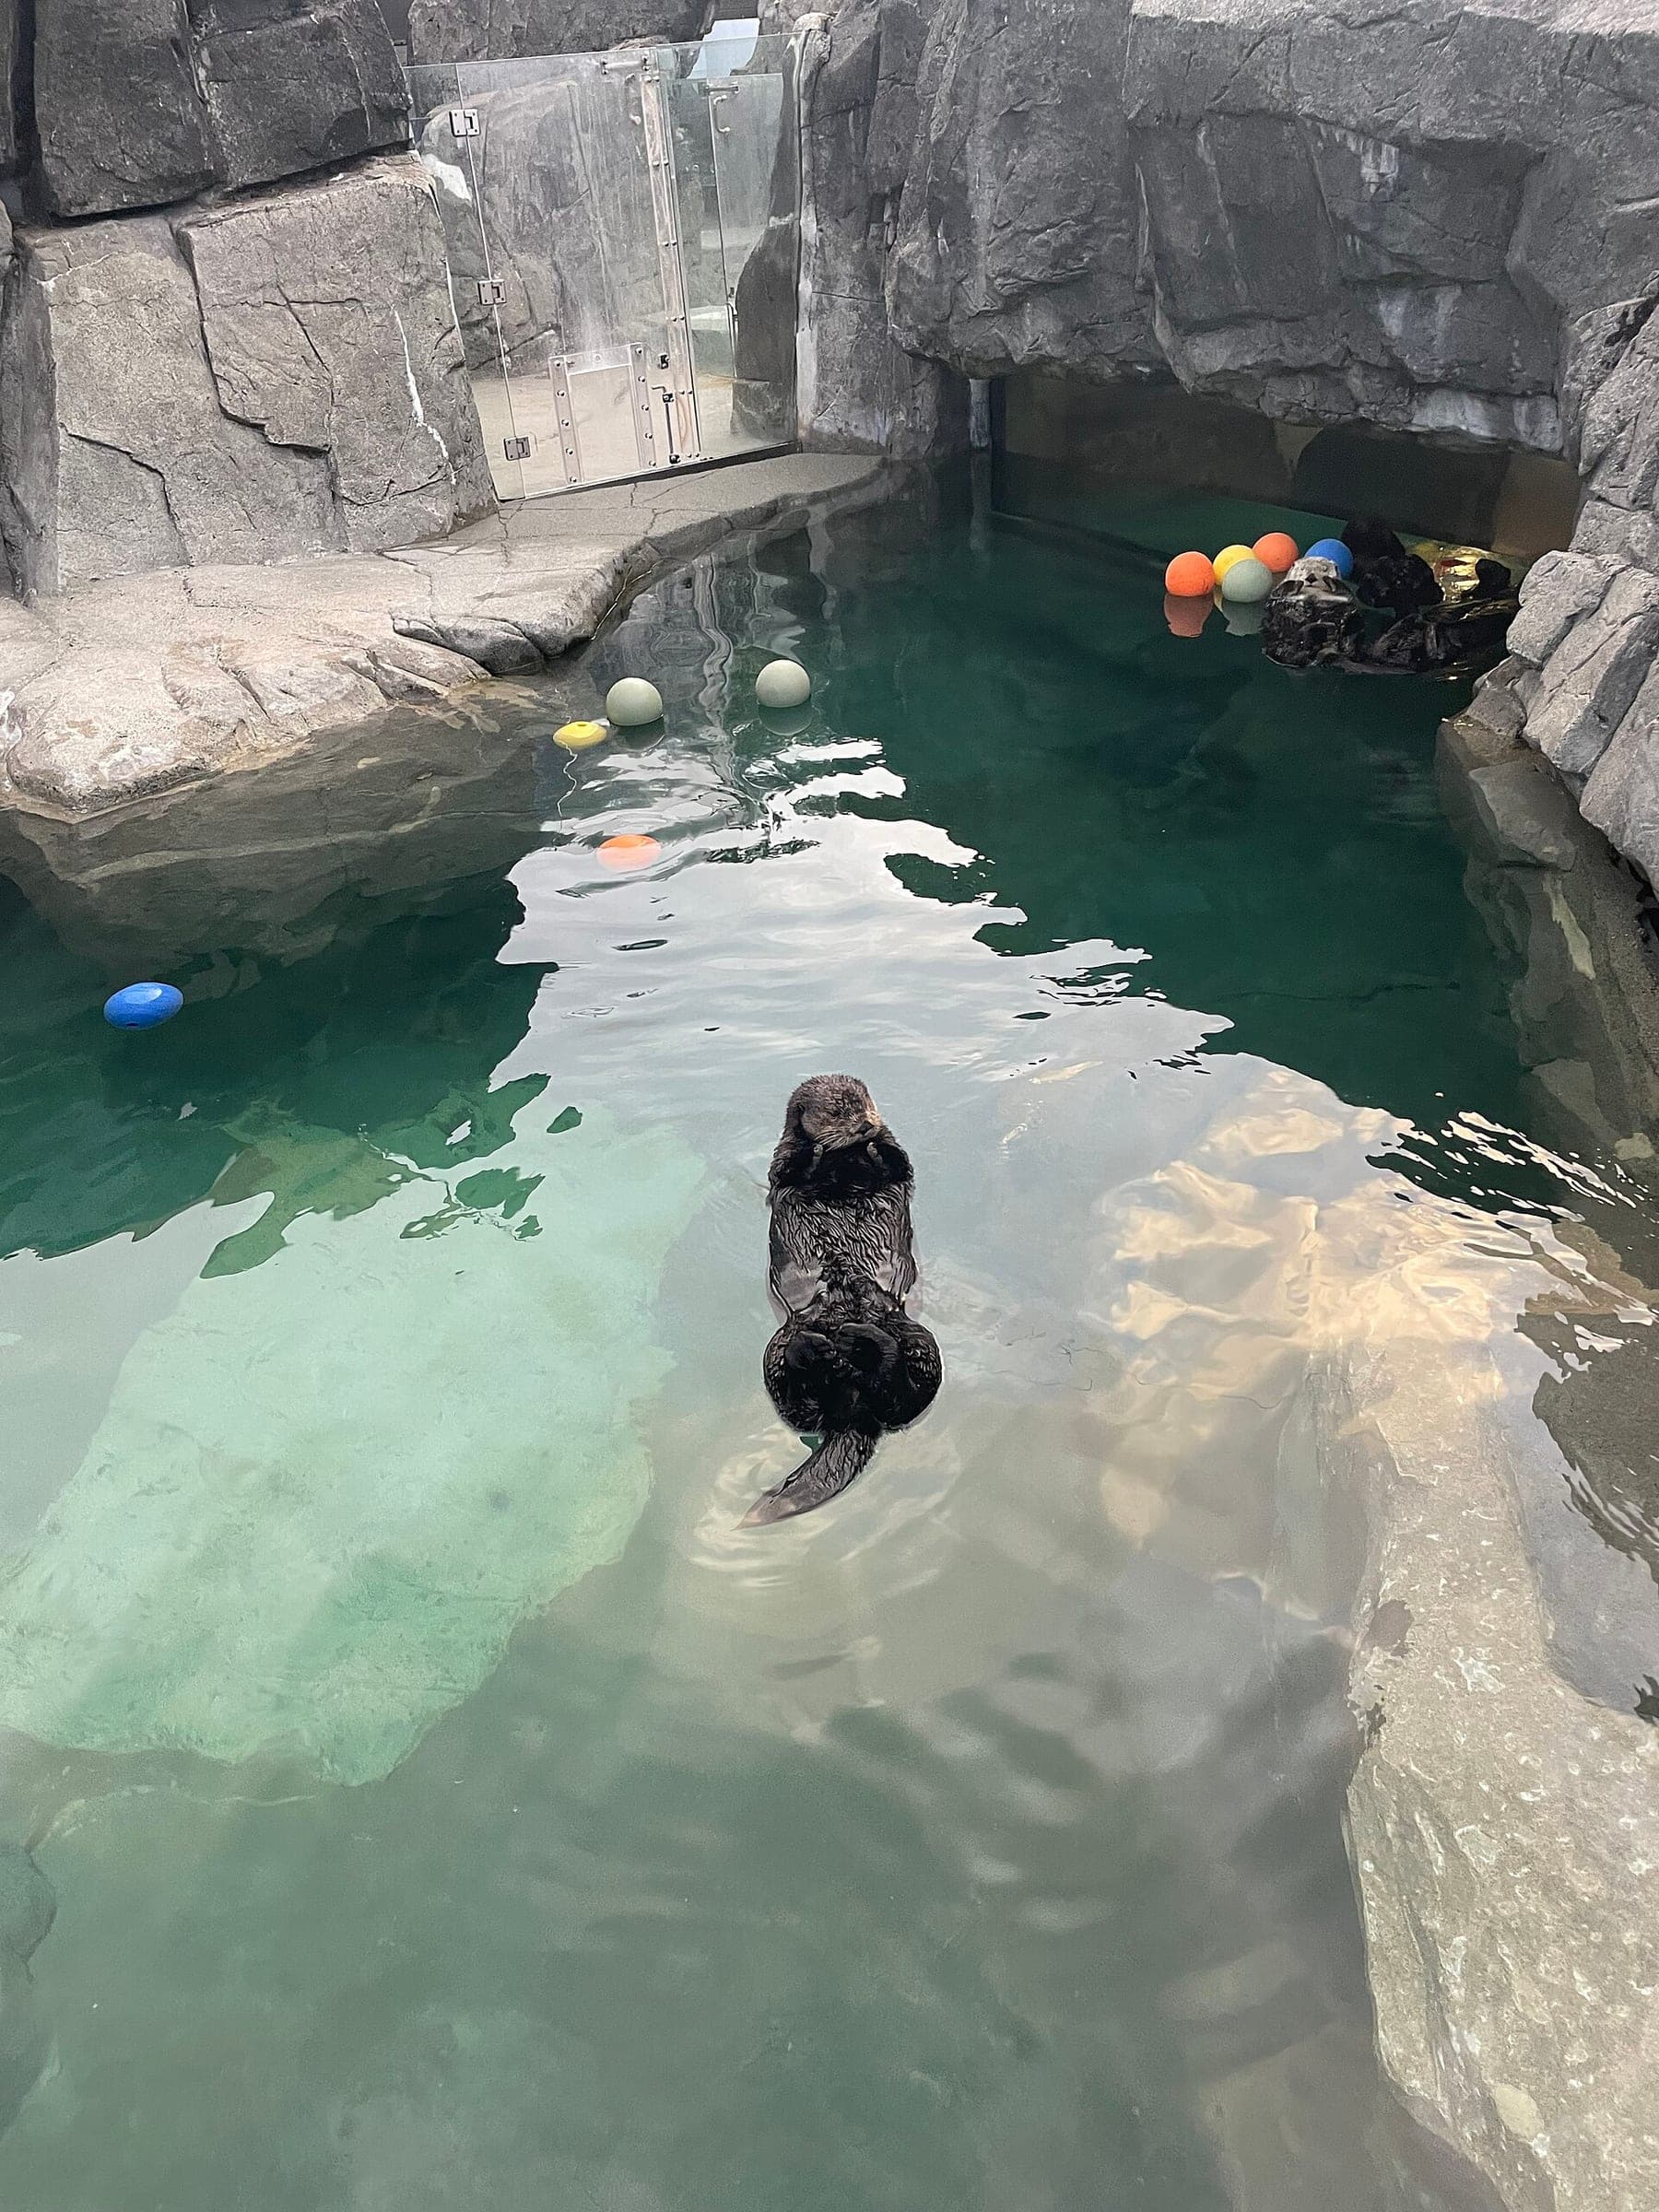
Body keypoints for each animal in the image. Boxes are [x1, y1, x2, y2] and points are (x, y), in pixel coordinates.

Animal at [742, 1074, 942, 1527]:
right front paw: (814, 1150)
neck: (843, 1166)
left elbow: (899, 1162)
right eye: (836, 1113)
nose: (865, 1125)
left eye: (866, 1105)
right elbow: (787, 1168)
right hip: (776, 1349)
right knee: (799, 1401)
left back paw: (863, 1344)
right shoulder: (780, 1163)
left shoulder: (896, 1162)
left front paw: (875, 1146)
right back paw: (820, 1349)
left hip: (917, 1336)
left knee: (905, 1400)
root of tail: (853, 1407)